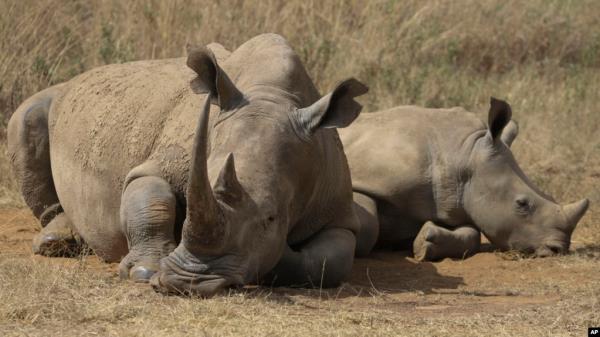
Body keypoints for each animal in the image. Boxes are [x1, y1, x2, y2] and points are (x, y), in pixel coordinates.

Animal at [7, 34, 368, 294]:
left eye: (271, 218)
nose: (187, 282)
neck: (272, 95)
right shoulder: (161, 164)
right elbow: (150, 198)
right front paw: (144, 271)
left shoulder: (338, 212)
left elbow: (326, 264)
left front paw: (277, 258)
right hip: (57, 99)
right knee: (27, 118)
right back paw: (56, 242)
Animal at [340, 98, 588, 260]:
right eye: (522, 204)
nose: (558, 249)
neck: (463, 154)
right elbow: (369, 225)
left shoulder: (451, 202)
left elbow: (472, 234)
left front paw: (425, 241)